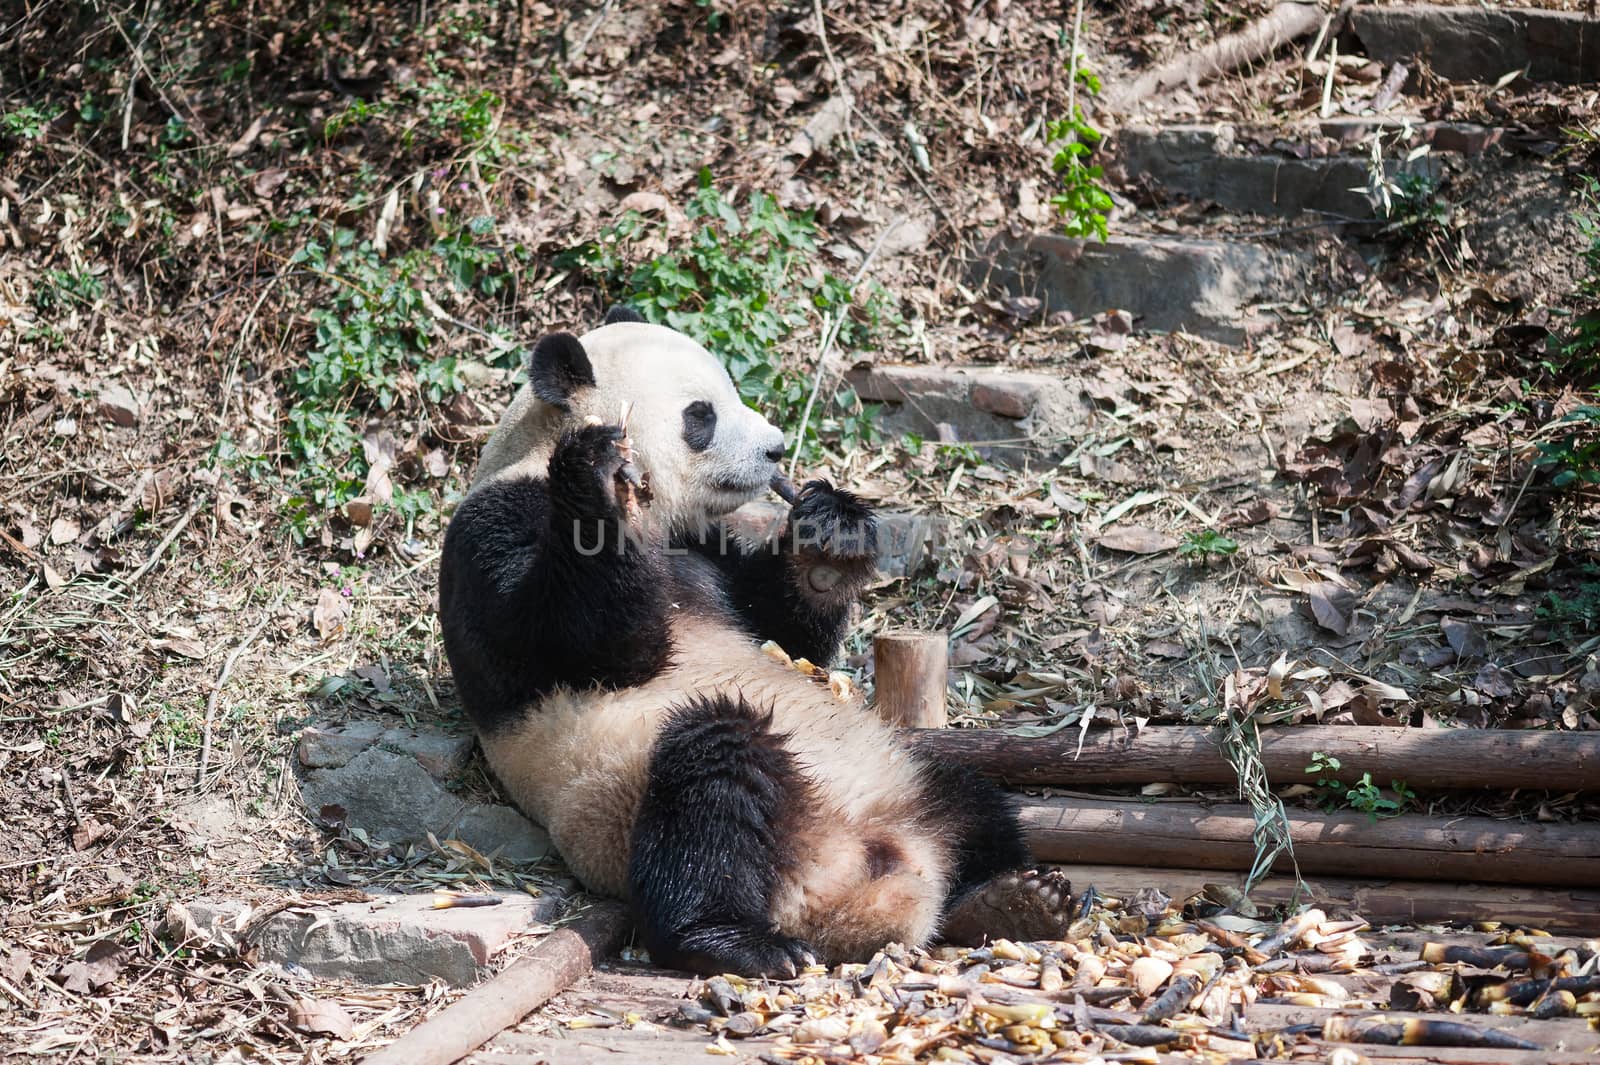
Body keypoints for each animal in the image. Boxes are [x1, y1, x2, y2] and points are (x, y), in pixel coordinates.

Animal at [435, 307, 1075, 972]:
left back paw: (1013, 901)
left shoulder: (704, 544)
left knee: (971, 798)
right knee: (714, 780)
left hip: (899, 775)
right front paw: (601, 479)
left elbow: (786, 635)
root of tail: (854, 885)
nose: (776, 449)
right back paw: (734, 938)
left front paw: (828, 535)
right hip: (630, 796)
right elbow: (574, 645)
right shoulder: (496, 526)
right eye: (701, 414)